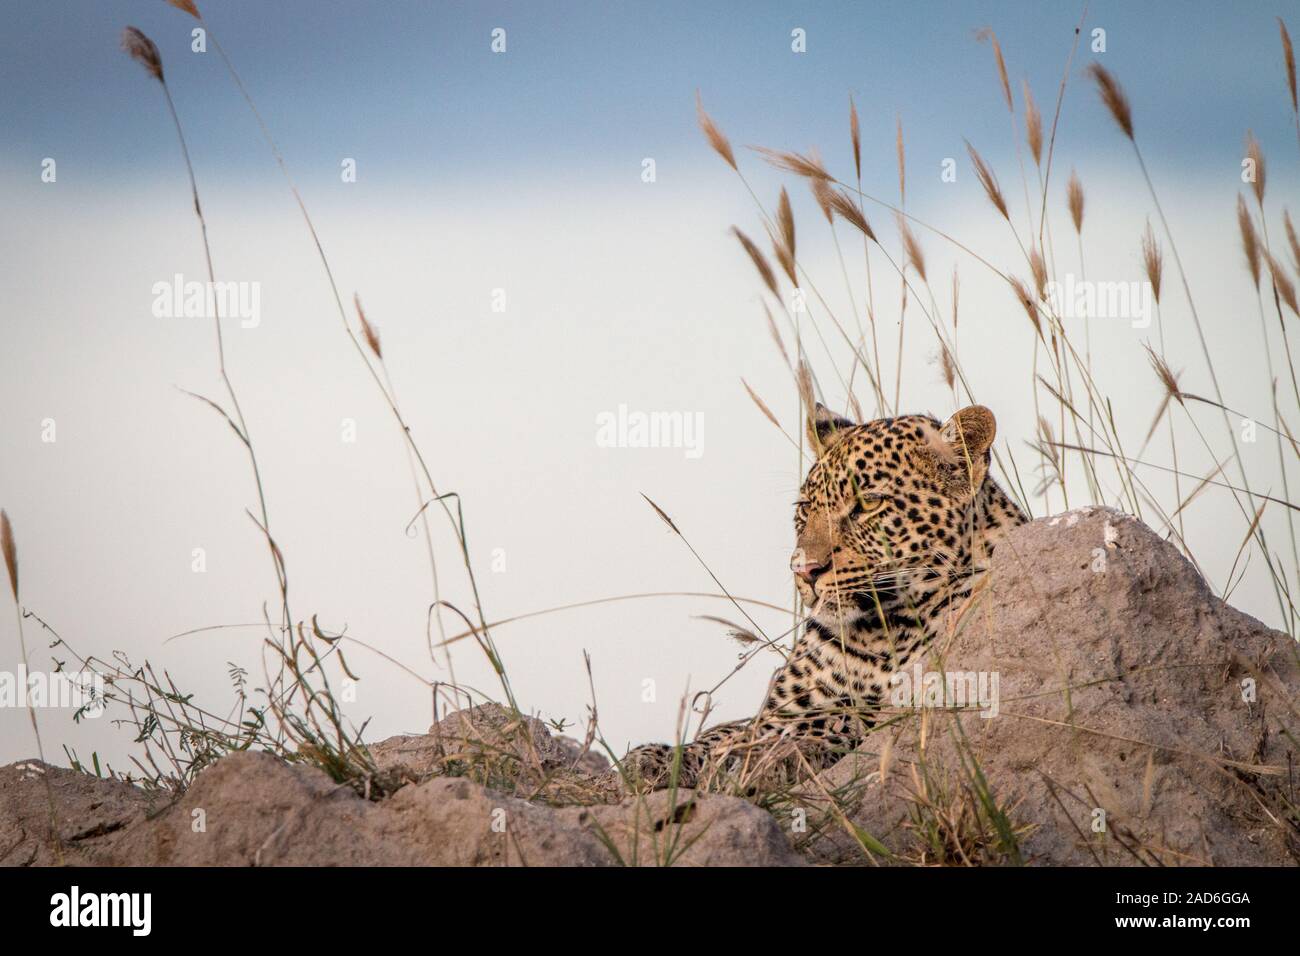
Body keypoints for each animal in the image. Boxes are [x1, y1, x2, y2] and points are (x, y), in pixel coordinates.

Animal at [613, 403, 1029, 790]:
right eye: (805, 509)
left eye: (868, 504)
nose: (804, 569)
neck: (876, 632)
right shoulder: (779, 709)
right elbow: (723, 731)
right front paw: (652, 759)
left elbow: (839, 721)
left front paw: (760, 757)